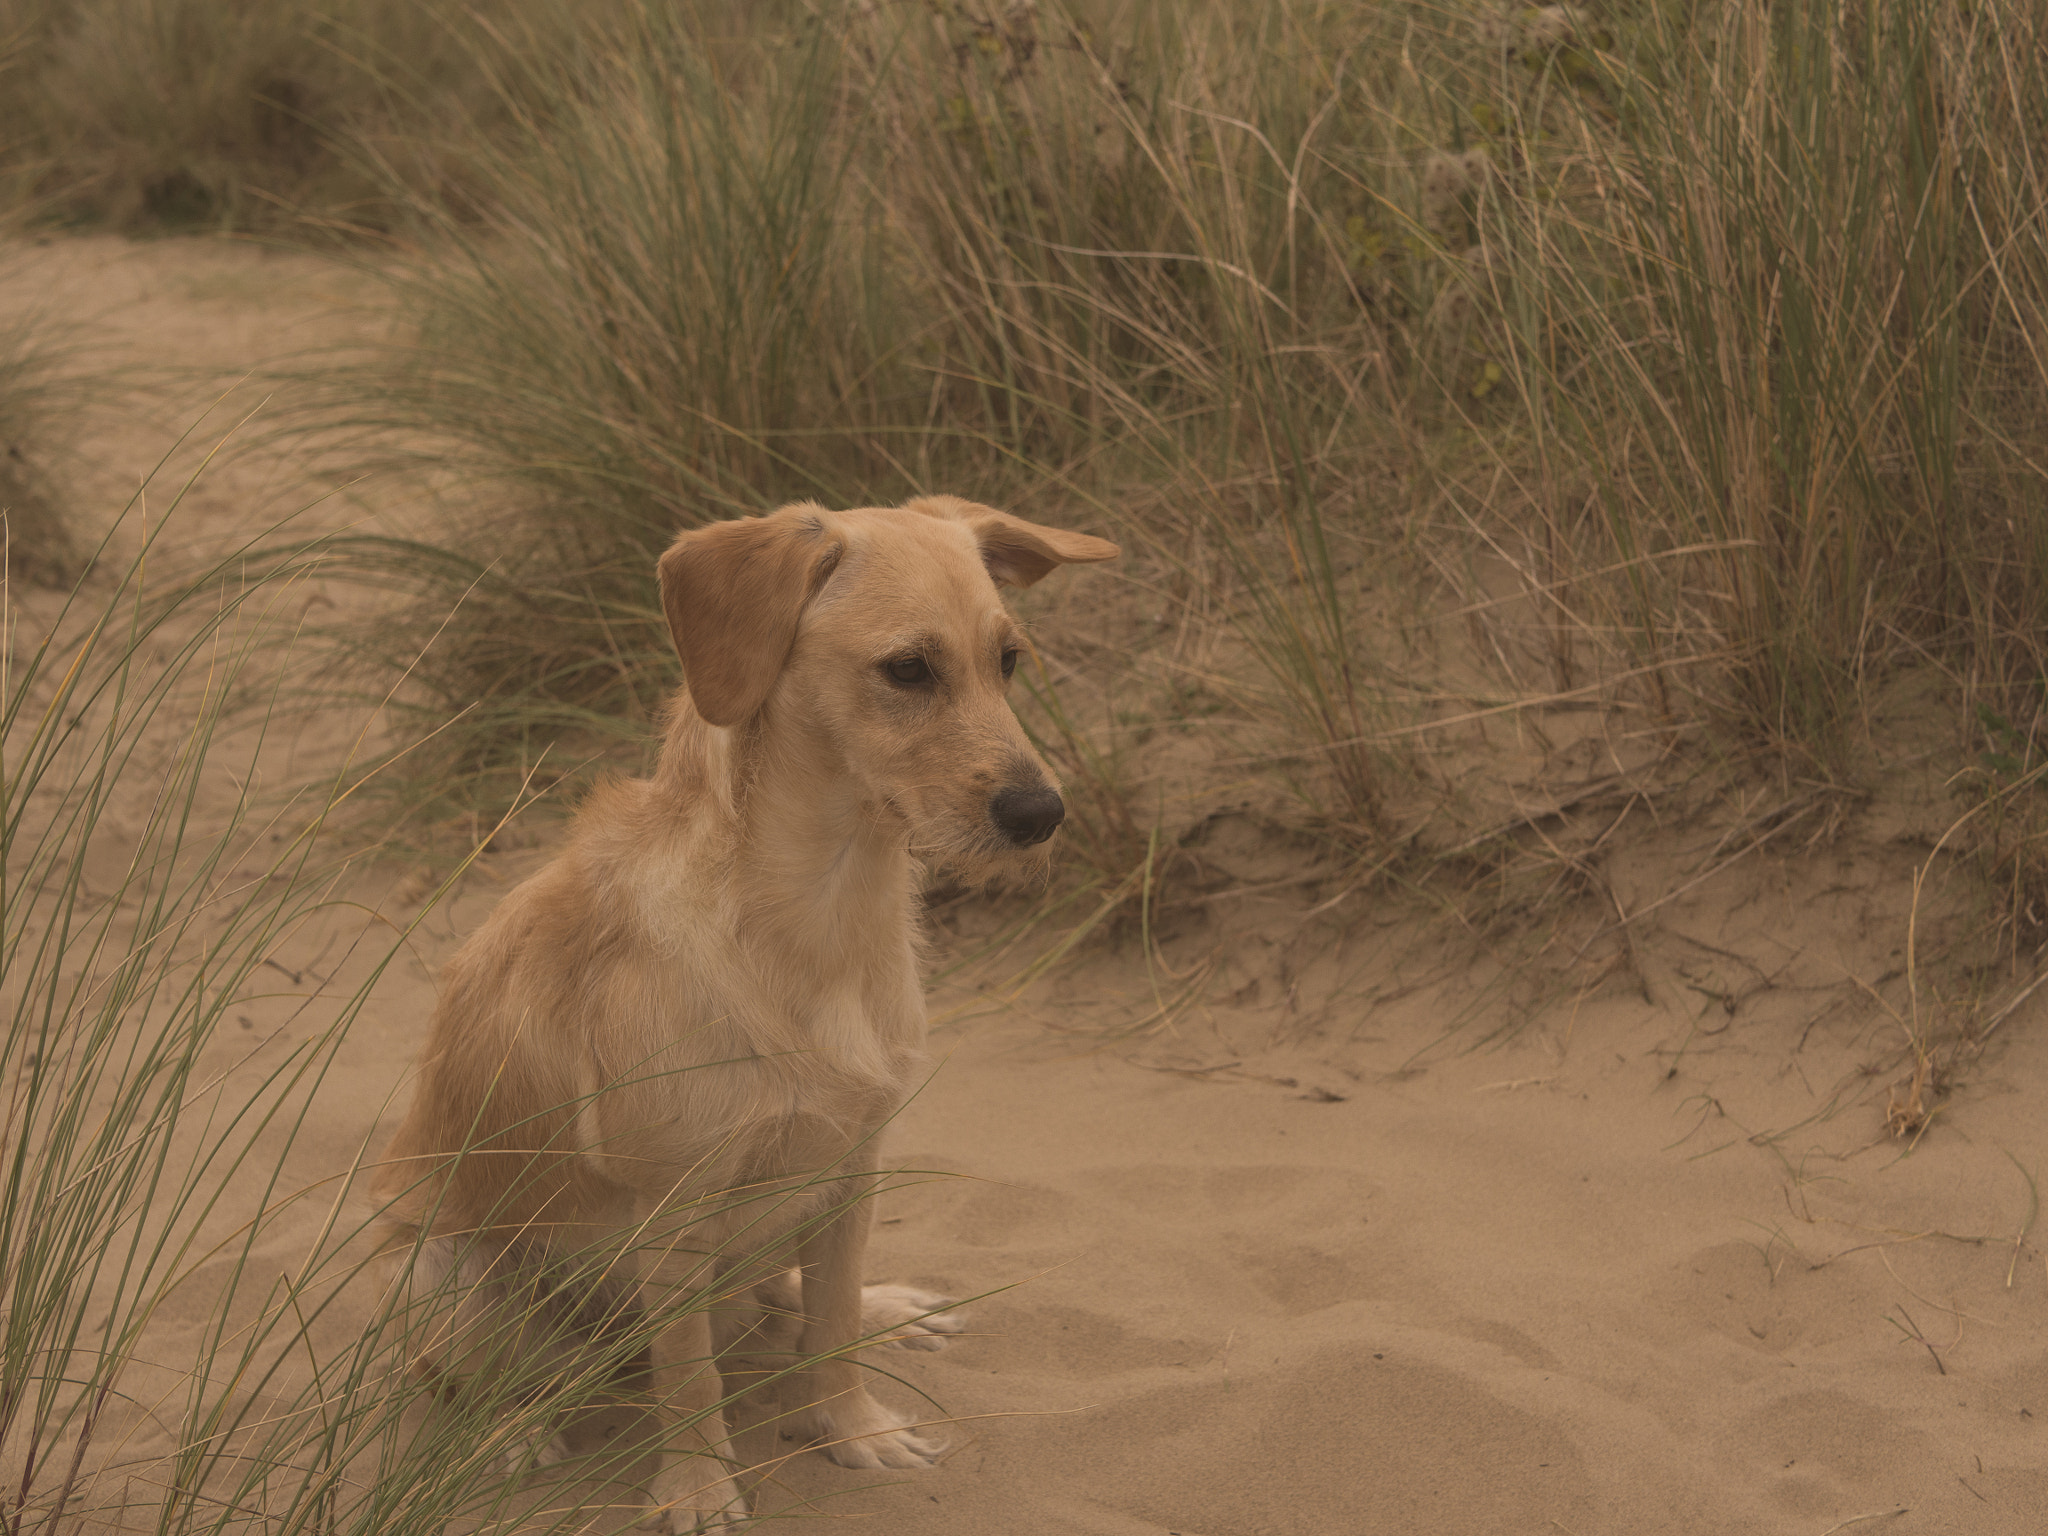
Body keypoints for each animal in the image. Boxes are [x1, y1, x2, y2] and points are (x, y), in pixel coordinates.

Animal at [376, 499, 1114, 1531]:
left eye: (1008, 660)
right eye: (908, 669)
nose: (1042, 814)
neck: (821, 910)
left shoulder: (852, 1163)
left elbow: (831, 1322)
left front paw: (852, 1429)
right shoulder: (674, 1207)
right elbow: (690, 1381)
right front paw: (695, 1487)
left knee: (788, 1299)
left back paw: (888, 1309)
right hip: (441, 1272)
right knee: (478, 1379)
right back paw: (511, 1434)